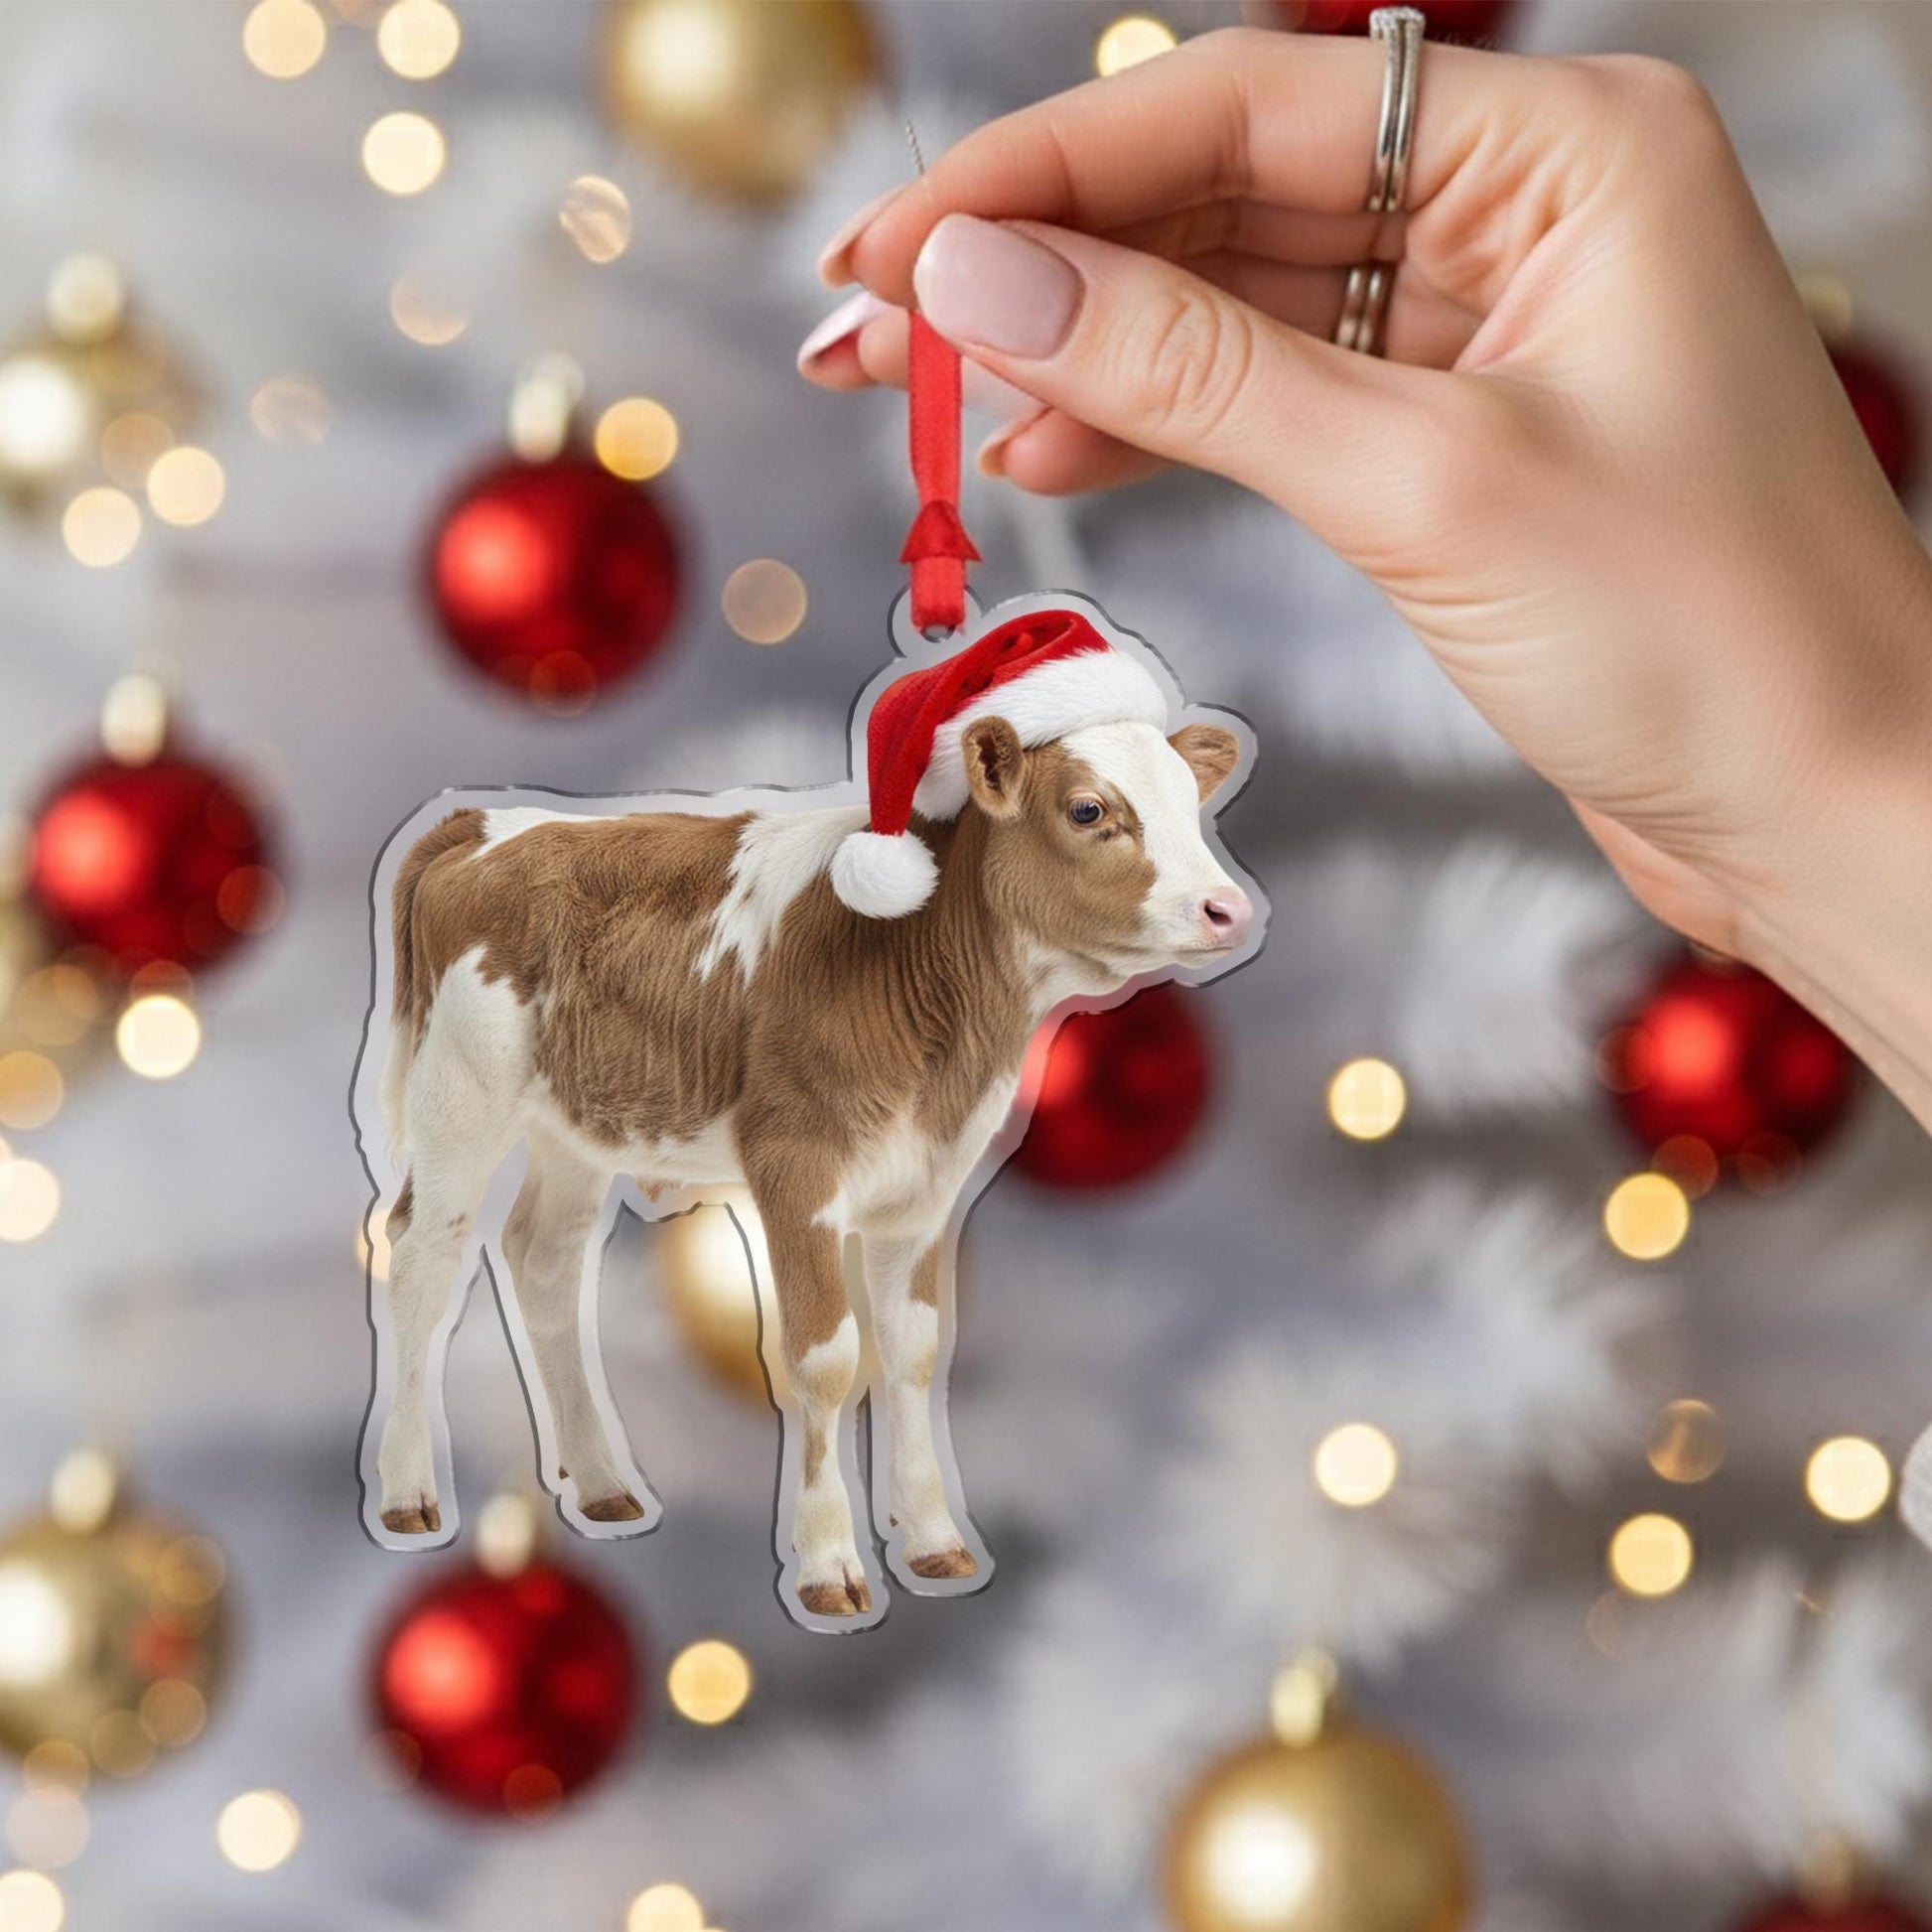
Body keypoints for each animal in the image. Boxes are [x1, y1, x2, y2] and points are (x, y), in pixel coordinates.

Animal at [356, 596, 1262, 1627]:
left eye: (1192, 803)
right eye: (1088, 809)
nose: (1228, 909)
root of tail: (491, 820)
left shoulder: (926, 1183)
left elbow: (912, 1351)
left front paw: (936, 1542)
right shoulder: (794, 1165)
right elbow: (825, 1359)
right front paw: (831, 1567)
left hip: (579, 1122)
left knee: (543, 1261)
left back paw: (604, 1487)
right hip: (461, 1092)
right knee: (422, 1254)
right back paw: (408, 1493)